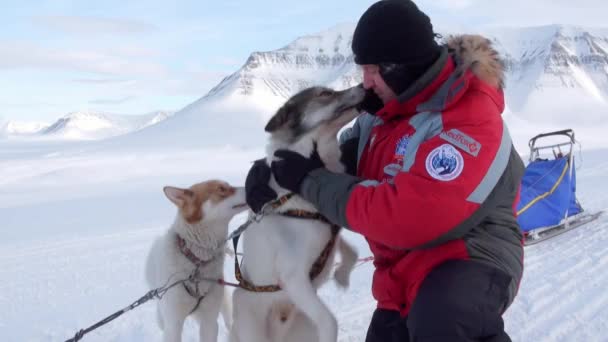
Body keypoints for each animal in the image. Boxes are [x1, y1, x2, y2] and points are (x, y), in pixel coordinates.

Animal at [232, 83, 366, 342]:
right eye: (325, 94)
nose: (364, 85)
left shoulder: (330, 232)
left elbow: (352, 251)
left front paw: (342, 275)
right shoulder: (293, 278)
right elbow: (329, 321)